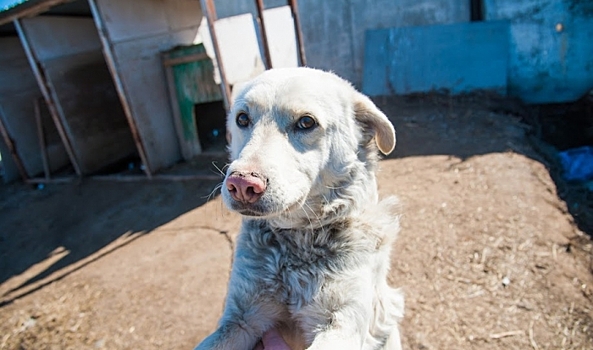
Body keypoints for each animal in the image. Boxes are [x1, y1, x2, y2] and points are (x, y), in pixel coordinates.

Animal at [197, 67, 404, 348]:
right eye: (242, 119)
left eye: (306, 122)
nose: (241, 184)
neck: (297, 243)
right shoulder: (240, 317)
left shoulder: (342, 323)